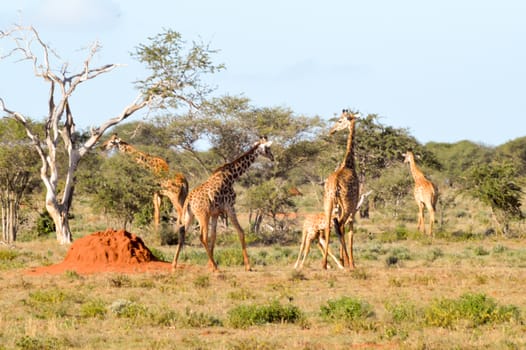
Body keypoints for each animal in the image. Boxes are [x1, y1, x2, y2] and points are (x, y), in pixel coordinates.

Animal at [174, 136, 276, 270]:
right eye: (268, 148)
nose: (272, 157)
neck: (231, 177)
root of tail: (189, 200)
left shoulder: (216, 213)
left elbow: (214, 236)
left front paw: (209, 265)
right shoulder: (229, 207)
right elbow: (240, 232)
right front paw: (248, 266)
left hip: (190, 215)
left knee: (182, 233)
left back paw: (174, 265)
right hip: (202, 215)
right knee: (202, 237)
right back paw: (216, 268)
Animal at [322, 109, 364, 270]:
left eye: (340, 121)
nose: (332, 131)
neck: (349, 164)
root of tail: (334, 185)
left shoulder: (339, 206)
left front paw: (342, 260)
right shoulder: (354, 206)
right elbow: (350, 230)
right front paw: (351, 262)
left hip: (328, 202)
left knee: (330, 226)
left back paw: (325, 263)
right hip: (346, 204)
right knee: (339, 224)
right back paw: (347, 262)